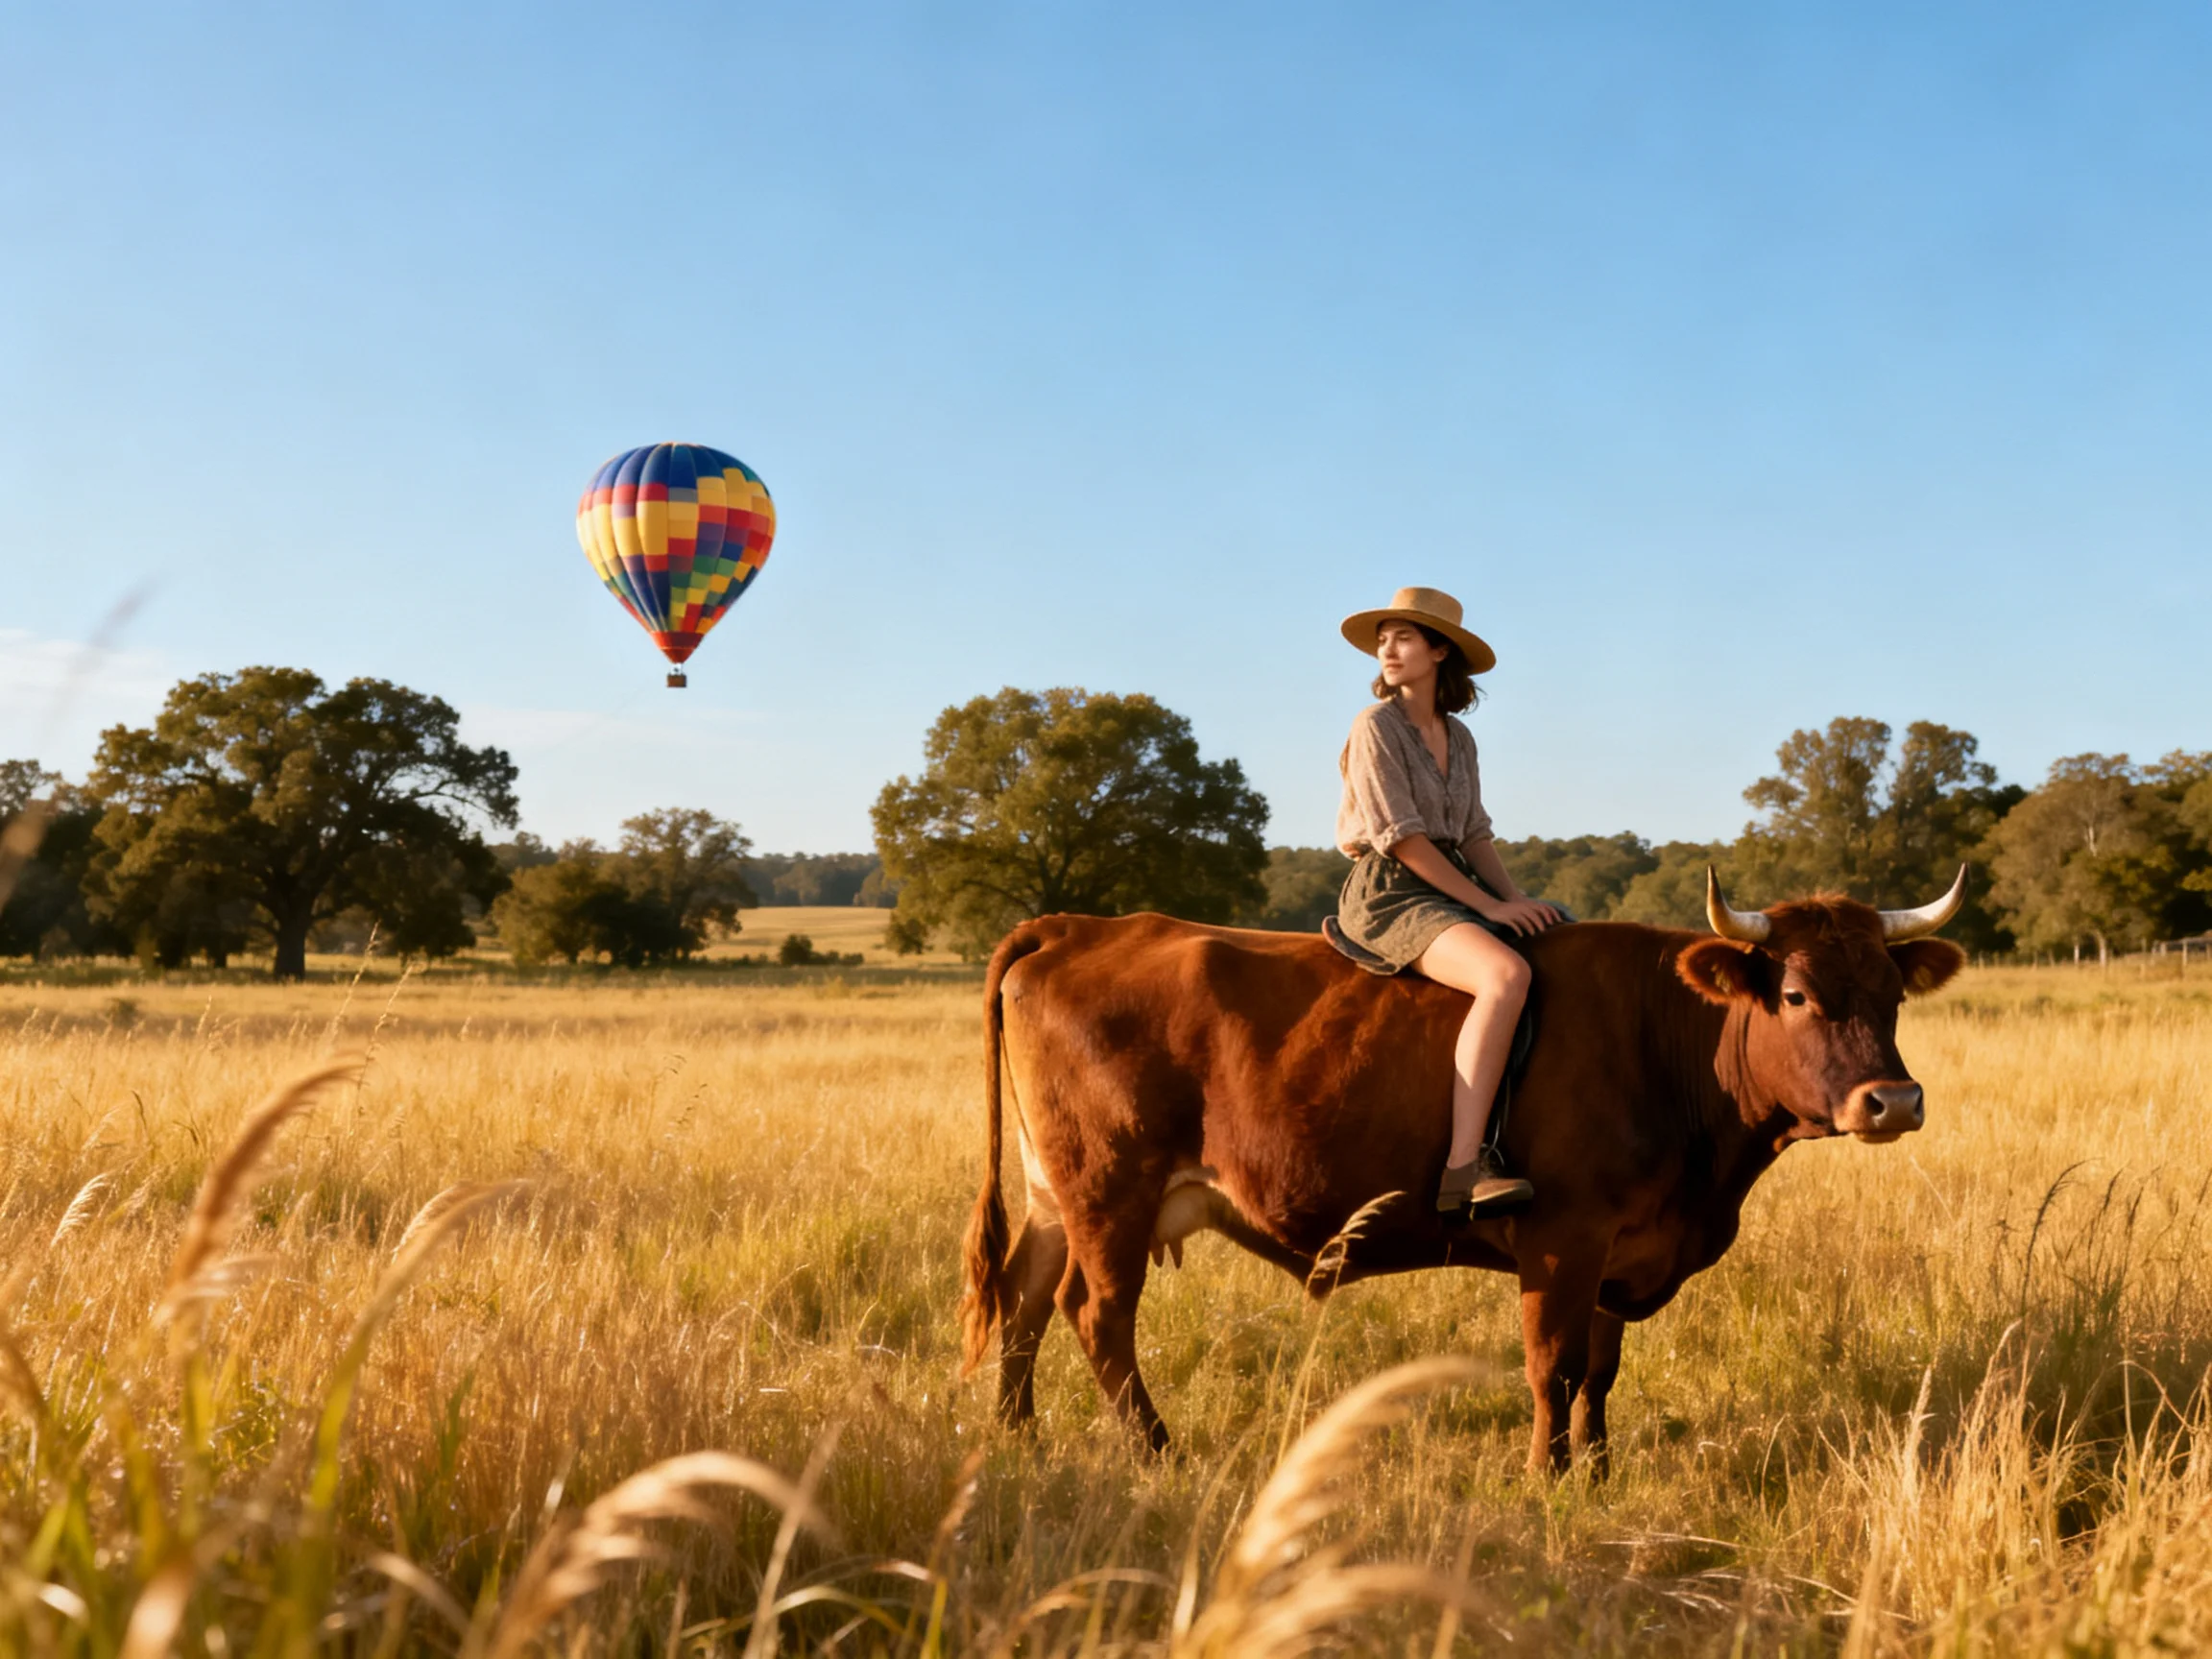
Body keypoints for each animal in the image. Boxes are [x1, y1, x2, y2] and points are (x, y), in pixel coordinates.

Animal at [958, 868, 1968, 1473]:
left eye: (1891, 992)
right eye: (1796, 993)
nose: (1894, 1101)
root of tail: (1077, 927)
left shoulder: (1620, 1247)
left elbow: (1601, 1372)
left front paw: (1599, 1471)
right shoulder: (1564, 1238)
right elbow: (1553, 1364)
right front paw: (1548, 1474)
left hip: (1055, 1195)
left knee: (1024, 1300)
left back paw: (1016, 1436)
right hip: (1109, 1191)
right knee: (1096, 1316)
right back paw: (1156, 1450)